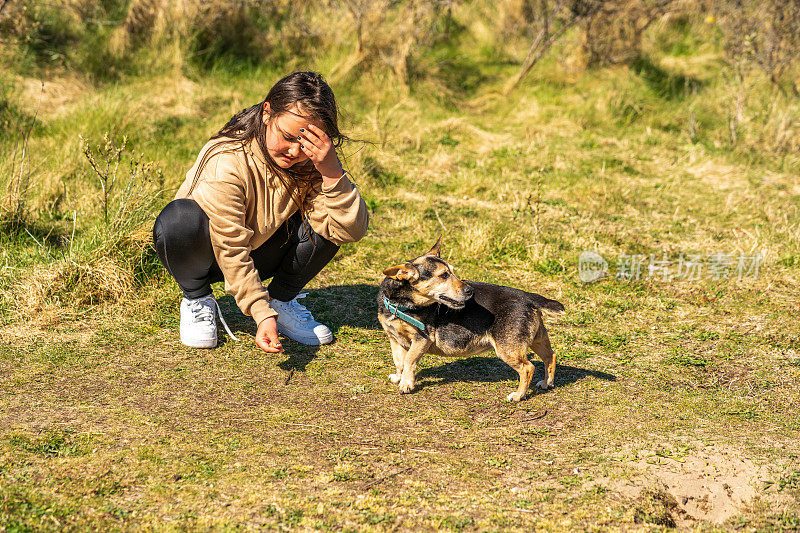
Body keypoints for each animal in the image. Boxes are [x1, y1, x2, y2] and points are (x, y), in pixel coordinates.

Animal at [378, 239, 564, 402]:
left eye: (453, 272)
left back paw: (518, 396)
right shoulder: (395, 339)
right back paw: (547, 383)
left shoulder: (421, 339)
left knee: (528, 368)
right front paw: (399, 377)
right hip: (537, 340)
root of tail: (529, 297)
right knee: (551, 356)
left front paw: (406, 384)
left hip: (508, 349)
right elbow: (399, 361)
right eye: (444, 275)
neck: (400, 304)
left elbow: (409, 360)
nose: (470, 290)